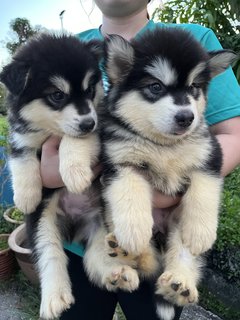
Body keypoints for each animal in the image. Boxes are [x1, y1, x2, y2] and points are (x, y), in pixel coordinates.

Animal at [0, 33, 103, 318]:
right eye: (57, 95)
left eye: (90, 90)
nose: (89, 123)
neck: (49, 130)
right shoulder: (20, 137)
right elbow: (20, 158)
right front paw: (25, 195)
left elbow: (73, 139)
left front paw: (75, 172)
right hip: (41, 221)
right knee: (50, 251)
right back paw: (55, 296)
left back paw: (117, 272)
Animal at [84, 28, 236, 320]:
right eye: (156, 87)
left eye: (194, 88)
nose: (186, 117)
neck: (162, 145)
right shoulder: (120, 161)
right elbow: (130, 192)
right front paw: (133, 231)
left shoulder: (210, 155)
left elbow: (204, 190)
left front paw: (201, 232)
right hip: (107, 222)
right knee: (146, 262)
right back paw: (126, 252)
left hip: (177, 224)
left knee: (177, 256)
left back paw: (179, 284)